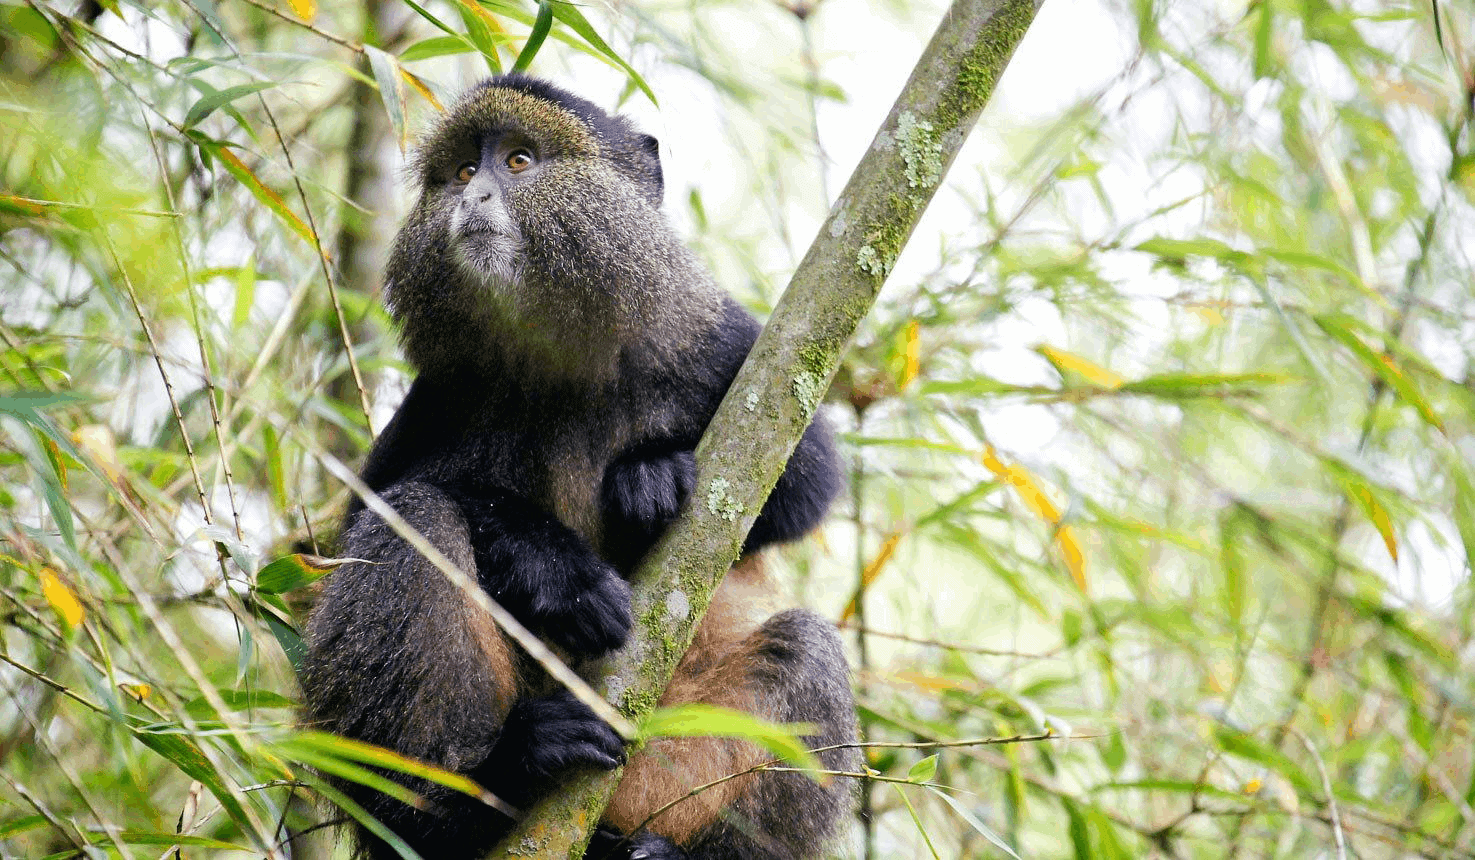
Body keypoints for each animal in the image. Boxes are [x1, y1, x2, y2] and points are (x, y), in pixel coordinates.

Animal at [299, 74, 859, 860]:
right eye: (463, 171)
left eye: (520, 161)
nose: (475, 197)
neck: (560, 353)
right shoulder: (440, 395)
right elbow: (374, 507)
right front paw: (556, 570)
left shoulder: (717, 341)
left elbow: (805, 478)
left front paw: (650, 474)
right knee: (416, 520)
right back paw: (469, 795)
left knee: (805, 648)